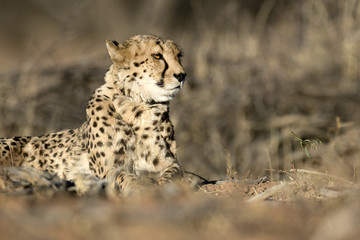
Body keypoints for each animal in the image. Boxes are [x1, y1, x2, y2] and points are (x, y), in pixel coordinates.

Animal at [0, 34, 186, 194]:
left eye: (179, 56)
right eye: (157, 56)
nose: (182, 75)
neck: (138, 107)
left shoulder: (171, 164)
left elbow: (171, 174)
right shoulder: (106, 170)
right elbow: (124, 175)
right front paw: (138, 188)